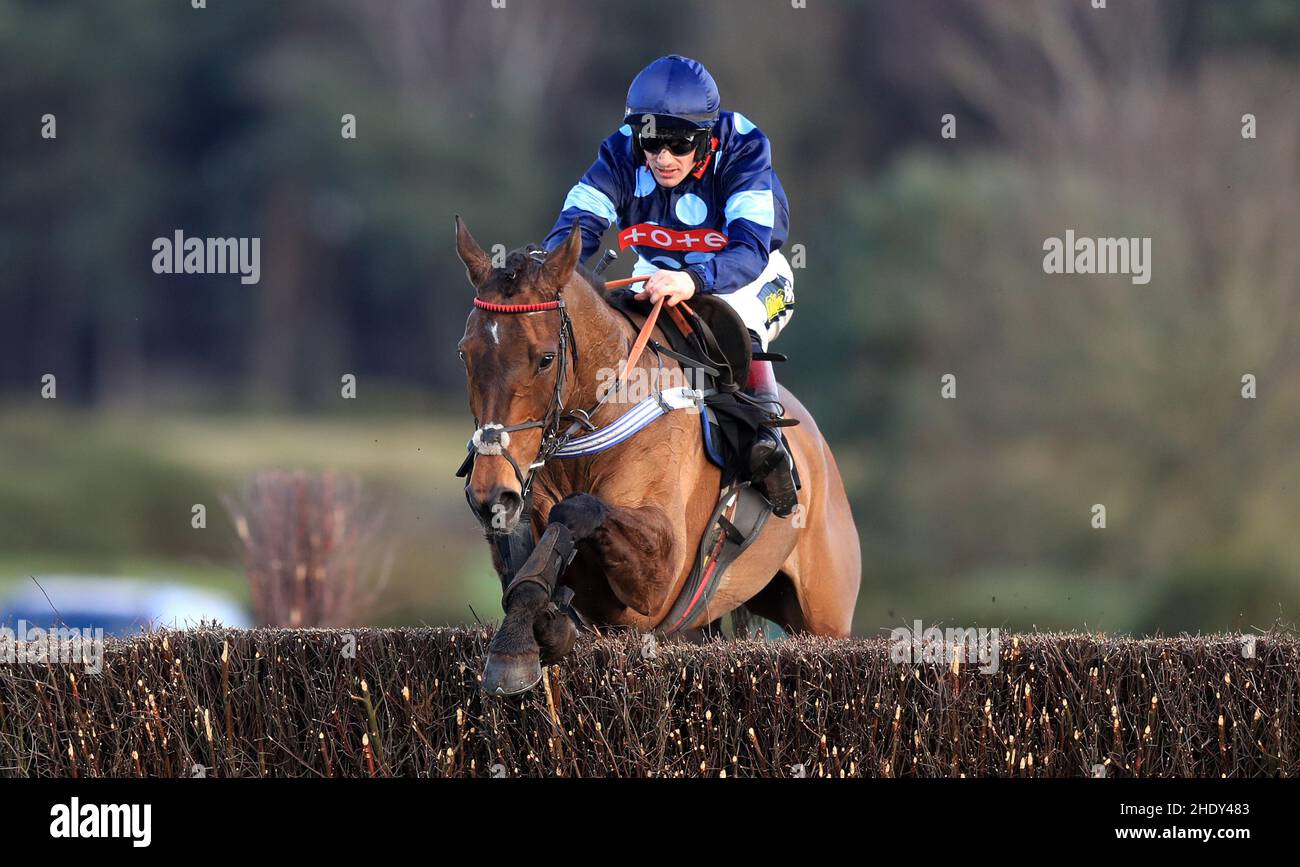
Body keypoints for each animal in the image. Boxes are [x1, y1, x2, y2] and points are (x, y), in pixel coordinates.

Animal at [457, 218, 863, 696]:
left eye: (545, 358)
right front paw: (534, 630)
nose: (490, 493)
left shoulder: (657, 582)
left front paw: (520, 645)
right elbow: (525, 565)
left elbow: (575, 510)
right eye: (465, 353)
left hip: (824, 613)